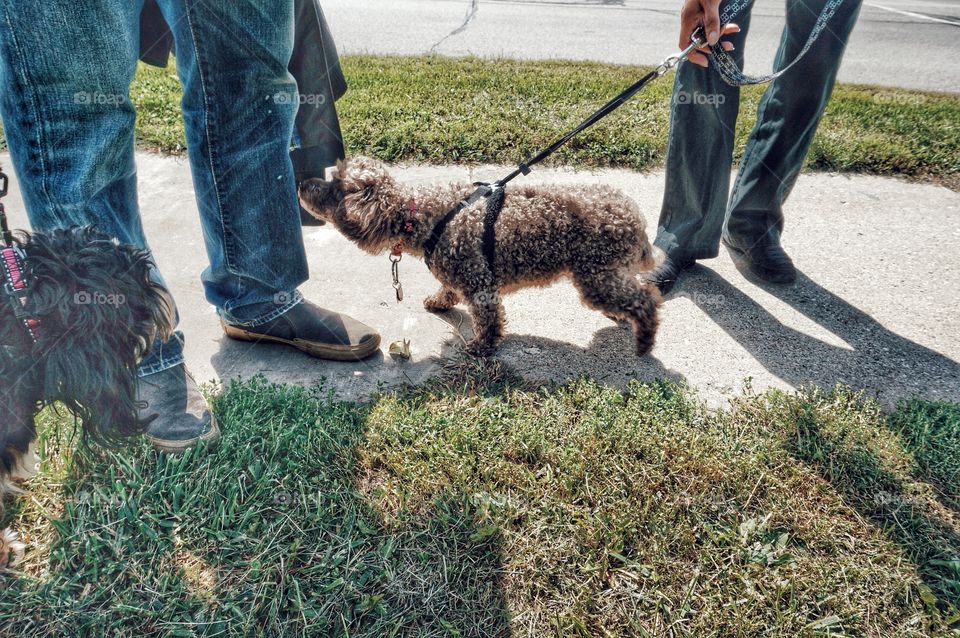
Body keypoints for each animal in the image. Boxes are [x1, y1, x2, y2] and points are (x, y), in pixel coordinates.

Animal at [300, 155, 660, 356]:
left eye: (334, 187)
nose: (302, 183)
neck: (425, 214)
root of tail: (633, 215)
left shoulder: (479, 283)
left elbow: (488, 320)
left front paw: (483, 347)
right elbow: (447, 290)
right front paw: (439, 301)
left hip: (595, 276)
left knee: (646, 299)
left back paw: (644, 340)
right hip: (605, 272)